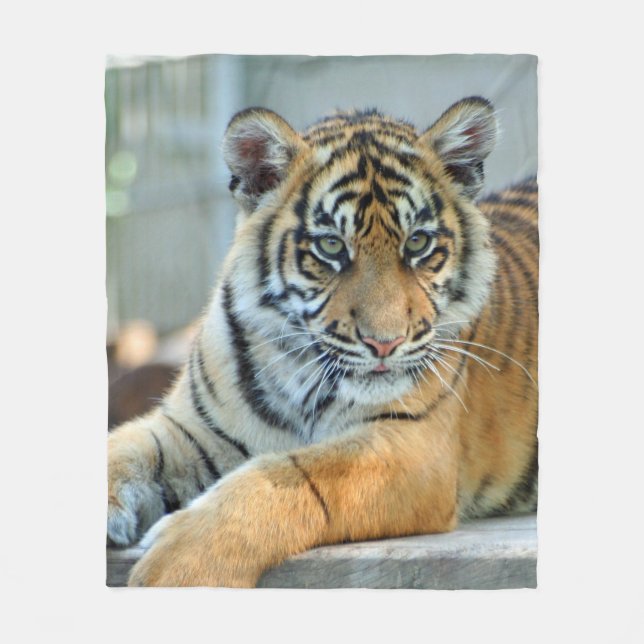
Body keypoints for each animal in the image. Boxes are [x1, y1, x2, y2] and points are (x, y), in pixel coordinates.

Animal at [107, 96, 538, 587]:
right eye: (331, 246)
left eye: (418, 243)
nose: (385, 343)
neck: (297, 368)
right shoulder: (193, 429)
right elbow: (122, 447)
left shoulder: (411, 447)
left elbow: (293, 475)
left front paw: (178, 569)